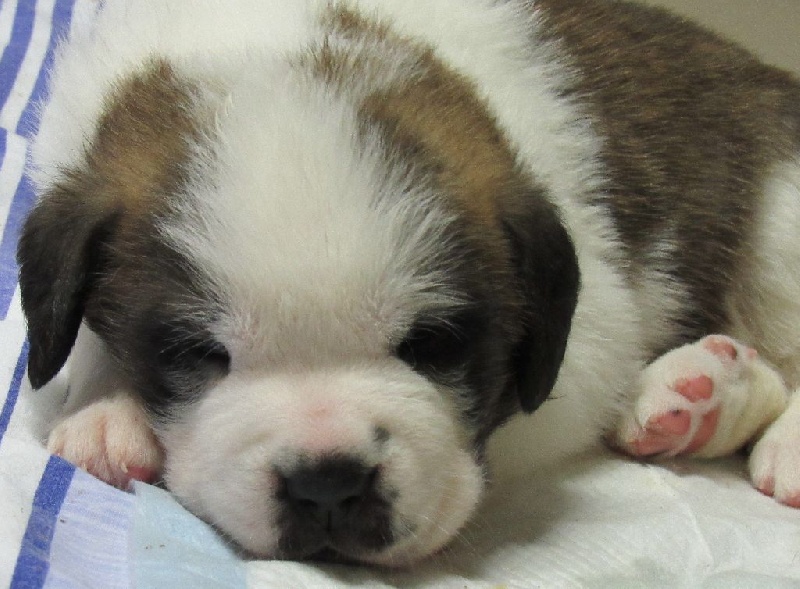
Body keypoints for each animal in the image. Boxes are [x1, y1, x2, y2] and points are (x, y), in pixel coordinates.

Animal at [17, 0, 800, 566]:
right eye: (195, 353)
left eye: (433, 345)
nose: (327, 482)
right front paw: (108, 407)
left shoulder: (589, 335)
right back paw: (701, 391)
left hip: (781, 230)